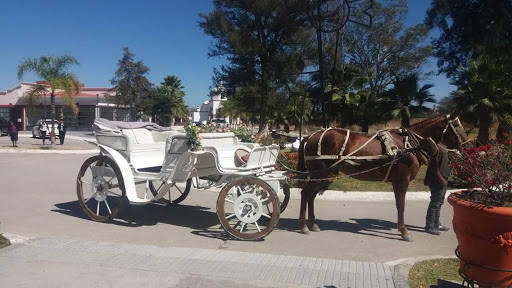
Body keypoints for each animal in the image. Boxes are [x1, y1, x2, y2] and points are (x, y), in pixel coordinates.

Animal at [296, 112, 468, 241]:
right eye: (457, 126)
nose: (467, 145)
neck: (408, 146)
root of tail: (310, 136)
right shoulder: (402, 181)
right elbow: (401, 205)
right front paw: (404, 232)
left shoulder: (398, 181)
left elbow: (399, 205)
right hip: (320, 172)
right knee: (305, 194)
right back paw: (304, 226)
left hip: (321, 175)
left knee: (311, 196)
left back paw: (314, 224)